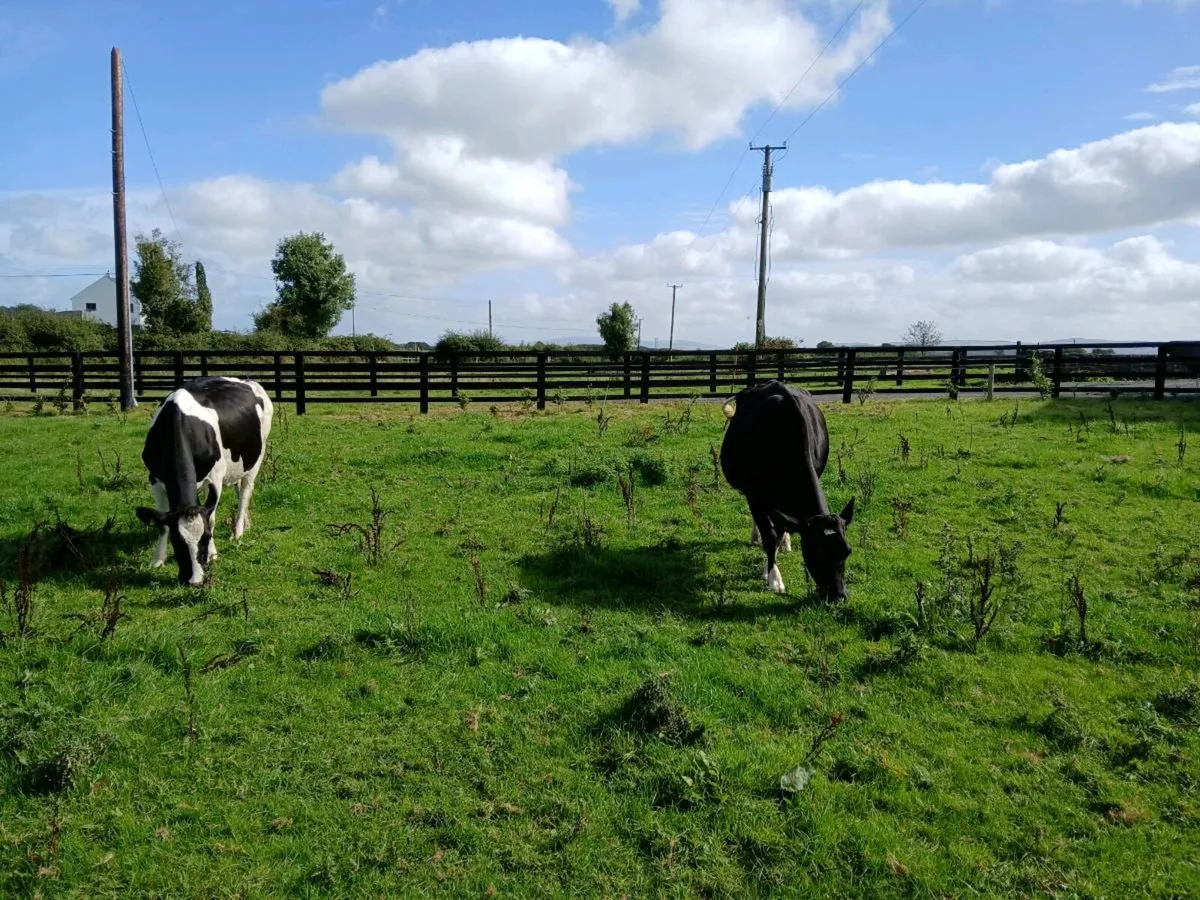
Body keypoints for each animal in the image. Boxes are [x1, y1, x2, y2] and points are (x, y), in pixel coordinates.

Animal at [135, 376, 274, 585]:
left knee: (245, 493)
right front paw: (158, 560)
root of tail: (246, 380)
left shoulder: (215, 477)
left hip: (256, 458)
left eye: (206, 538)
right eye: (177, 542)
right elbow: (162, 524)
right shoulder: (154, 479)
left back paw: (238, 532)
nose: (195, 580)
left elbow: (212, 517)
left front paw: (213, 555)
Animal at [720, 380, 855, 600]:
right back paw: (756, 537)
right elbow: (769, 535)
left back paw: (785, 541)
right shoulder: (754, 495)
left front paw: (776, 553)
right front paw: (773, 577)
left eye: (847, 551)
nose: (838, 595)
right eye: (815, 551)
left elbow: (779, 529)